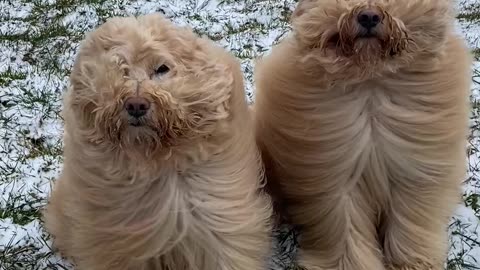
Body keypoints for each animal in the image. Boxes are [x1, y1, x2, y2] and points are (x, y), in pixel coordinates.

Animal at [255, 0, 472, 270]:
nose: (369, 16)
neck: (371, 78)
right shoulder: (339, 181)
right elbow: (345, 228)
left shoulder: (412, 174)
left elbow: (408, 222)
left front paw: (411, 262)